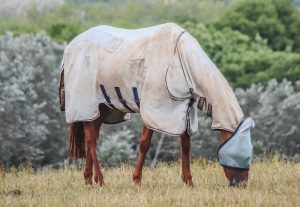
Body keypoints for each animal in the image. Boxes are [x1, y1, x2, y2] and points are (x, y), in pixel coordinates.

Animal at [59, 23, 254, 188]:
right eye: (240, 153)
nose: (242, 185)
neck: (180, 58)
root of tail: (71, 45)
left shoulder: (184, 110)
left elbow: (185, 145)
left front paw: (189, 182)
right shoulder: (153, 108)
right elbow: (145, 144)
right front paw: (136, 181)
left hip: (101, 108)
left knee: (90, 138)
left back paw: (88, 180)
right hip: (87, 104)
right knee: (91, 140)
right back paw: (100, 180)